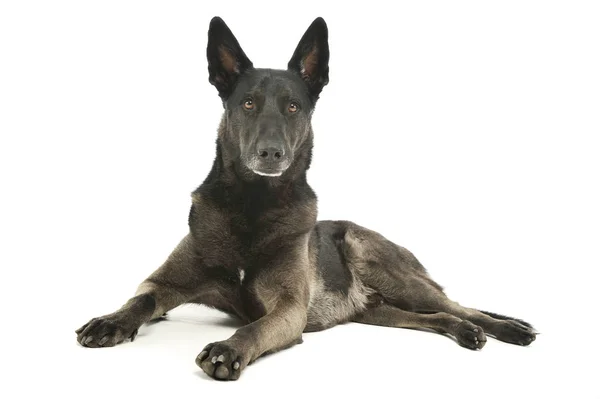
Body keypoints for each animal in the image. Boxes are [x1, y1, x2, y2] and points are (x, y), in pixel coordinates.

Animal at [76, 17, 540, 382]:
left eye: (293, 107)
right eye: (248, 104)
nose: (271, 153)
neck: (252, 208)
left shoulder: (288, 308)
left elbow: (254, 329)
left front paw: (228, 349)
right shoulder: (164, 284)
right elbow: (141, 299)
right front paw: (110, 322)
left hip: (384, 267)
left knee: (457, 305)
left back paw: (509, 329)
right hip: (378, 310)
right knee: (440, 316)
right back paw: (465, 331)